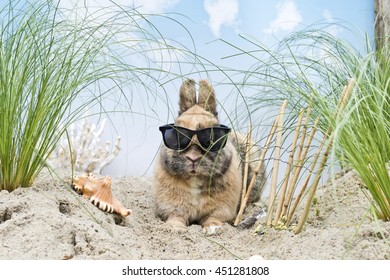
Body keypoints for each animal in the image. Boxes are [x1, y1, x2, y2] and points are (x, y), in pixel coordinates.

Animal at [152, 79, 266, 234]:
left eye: (211, 138)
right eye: (177, 136)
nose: (193, 158)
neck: (195, 180)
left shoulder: (221, 209)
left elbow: (213, 218)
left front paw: (213, 229)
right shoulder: (173, 208)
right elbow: (176, 217)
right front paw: (175, 228)